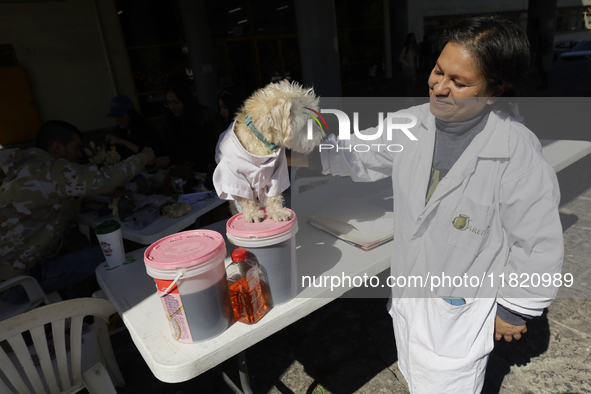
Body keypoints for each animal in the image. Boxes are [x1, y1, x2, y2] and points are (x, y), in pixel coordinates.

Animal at [214, 80, 326, 222]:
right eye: (307, 123)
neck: (262, 142)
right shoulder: (235, 178)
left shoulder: (277, 172)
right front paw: (252, 214)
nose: (323, 138)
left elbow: (275, 196)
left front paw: (278, 212)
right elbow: (246, 198)